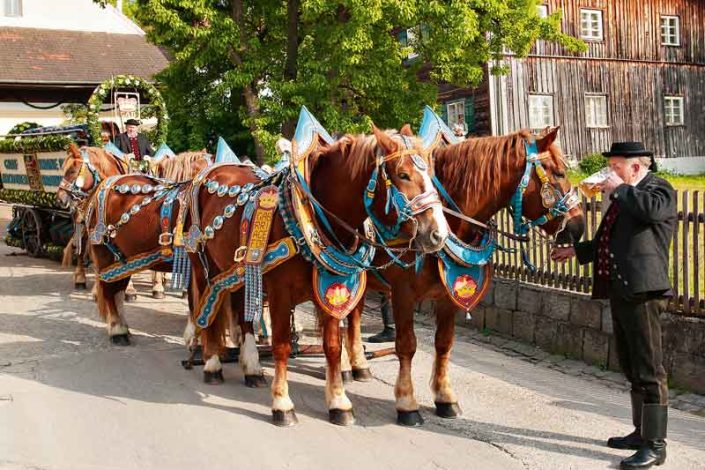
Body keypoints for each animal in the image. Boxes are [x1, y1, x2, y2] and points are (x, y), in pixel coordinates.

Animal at [187, 125, 448, 426]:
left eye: (431, 172)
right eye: (403, 174)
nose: (439, 234)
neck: (311, 217)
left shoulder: (331, 287)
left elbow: (333, 346)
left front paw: (338, 402)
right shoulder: (280, 291)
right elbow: (281, 345)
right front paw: (282, 404)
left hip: (241, 271)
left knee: (242, 317)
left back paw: (251, 368)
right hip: (202, 265)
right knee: (207, 312)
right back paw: (211, 365)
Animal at [338, 126, 584, 426]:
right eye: (558, 173)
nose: (579, 226)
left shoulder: (447, 295)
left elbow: (444, 343)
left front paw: (446, 398)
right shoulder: (403, 294)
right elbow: (406, 345)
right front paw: (407, 404)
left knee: (353, 319)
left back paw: (359, 366)